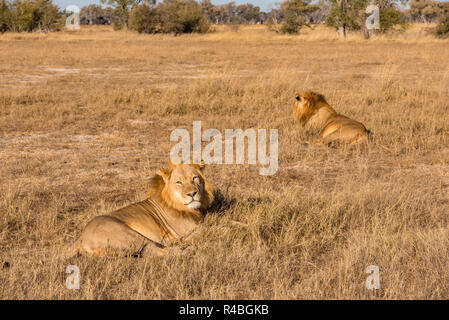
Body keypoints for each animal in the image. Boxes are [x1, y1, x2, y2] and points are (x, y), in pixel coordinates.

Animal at [71, 161, 214, 256]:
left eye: (195, 178)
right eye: (179, 182)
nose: (192, 194)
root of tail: (79, 239)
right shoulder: (182, 231)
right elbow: (208, 227)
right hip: (130, 236)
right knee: (158, 251)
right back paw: (186, 250)